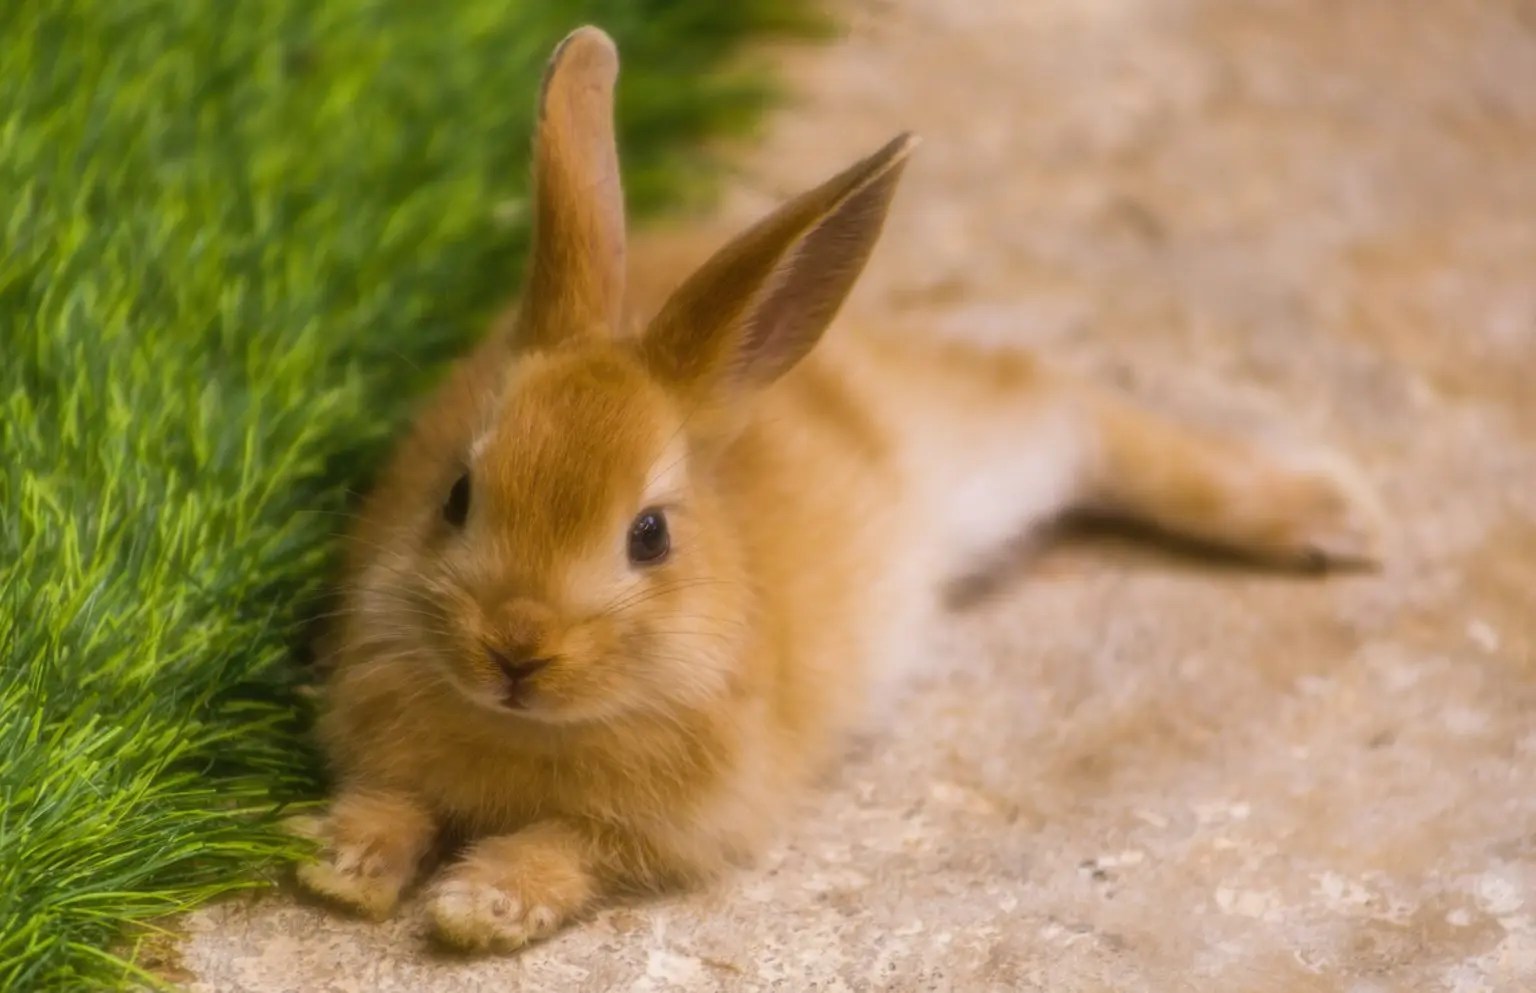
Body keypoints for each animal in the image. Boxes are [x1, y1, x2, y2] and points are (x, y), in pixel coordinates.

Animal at [291, 26, 1383, 953]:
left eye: (649, 535)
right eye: (457, 494)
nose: (515, 649)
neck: (529, 725)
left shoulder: (673, 822)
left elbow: (565, 847)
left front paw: (480, 905)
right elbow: (393, 801)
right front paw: (341, 866)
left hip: (980, 457)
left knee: (1071, 407)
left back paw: (1331, 520)